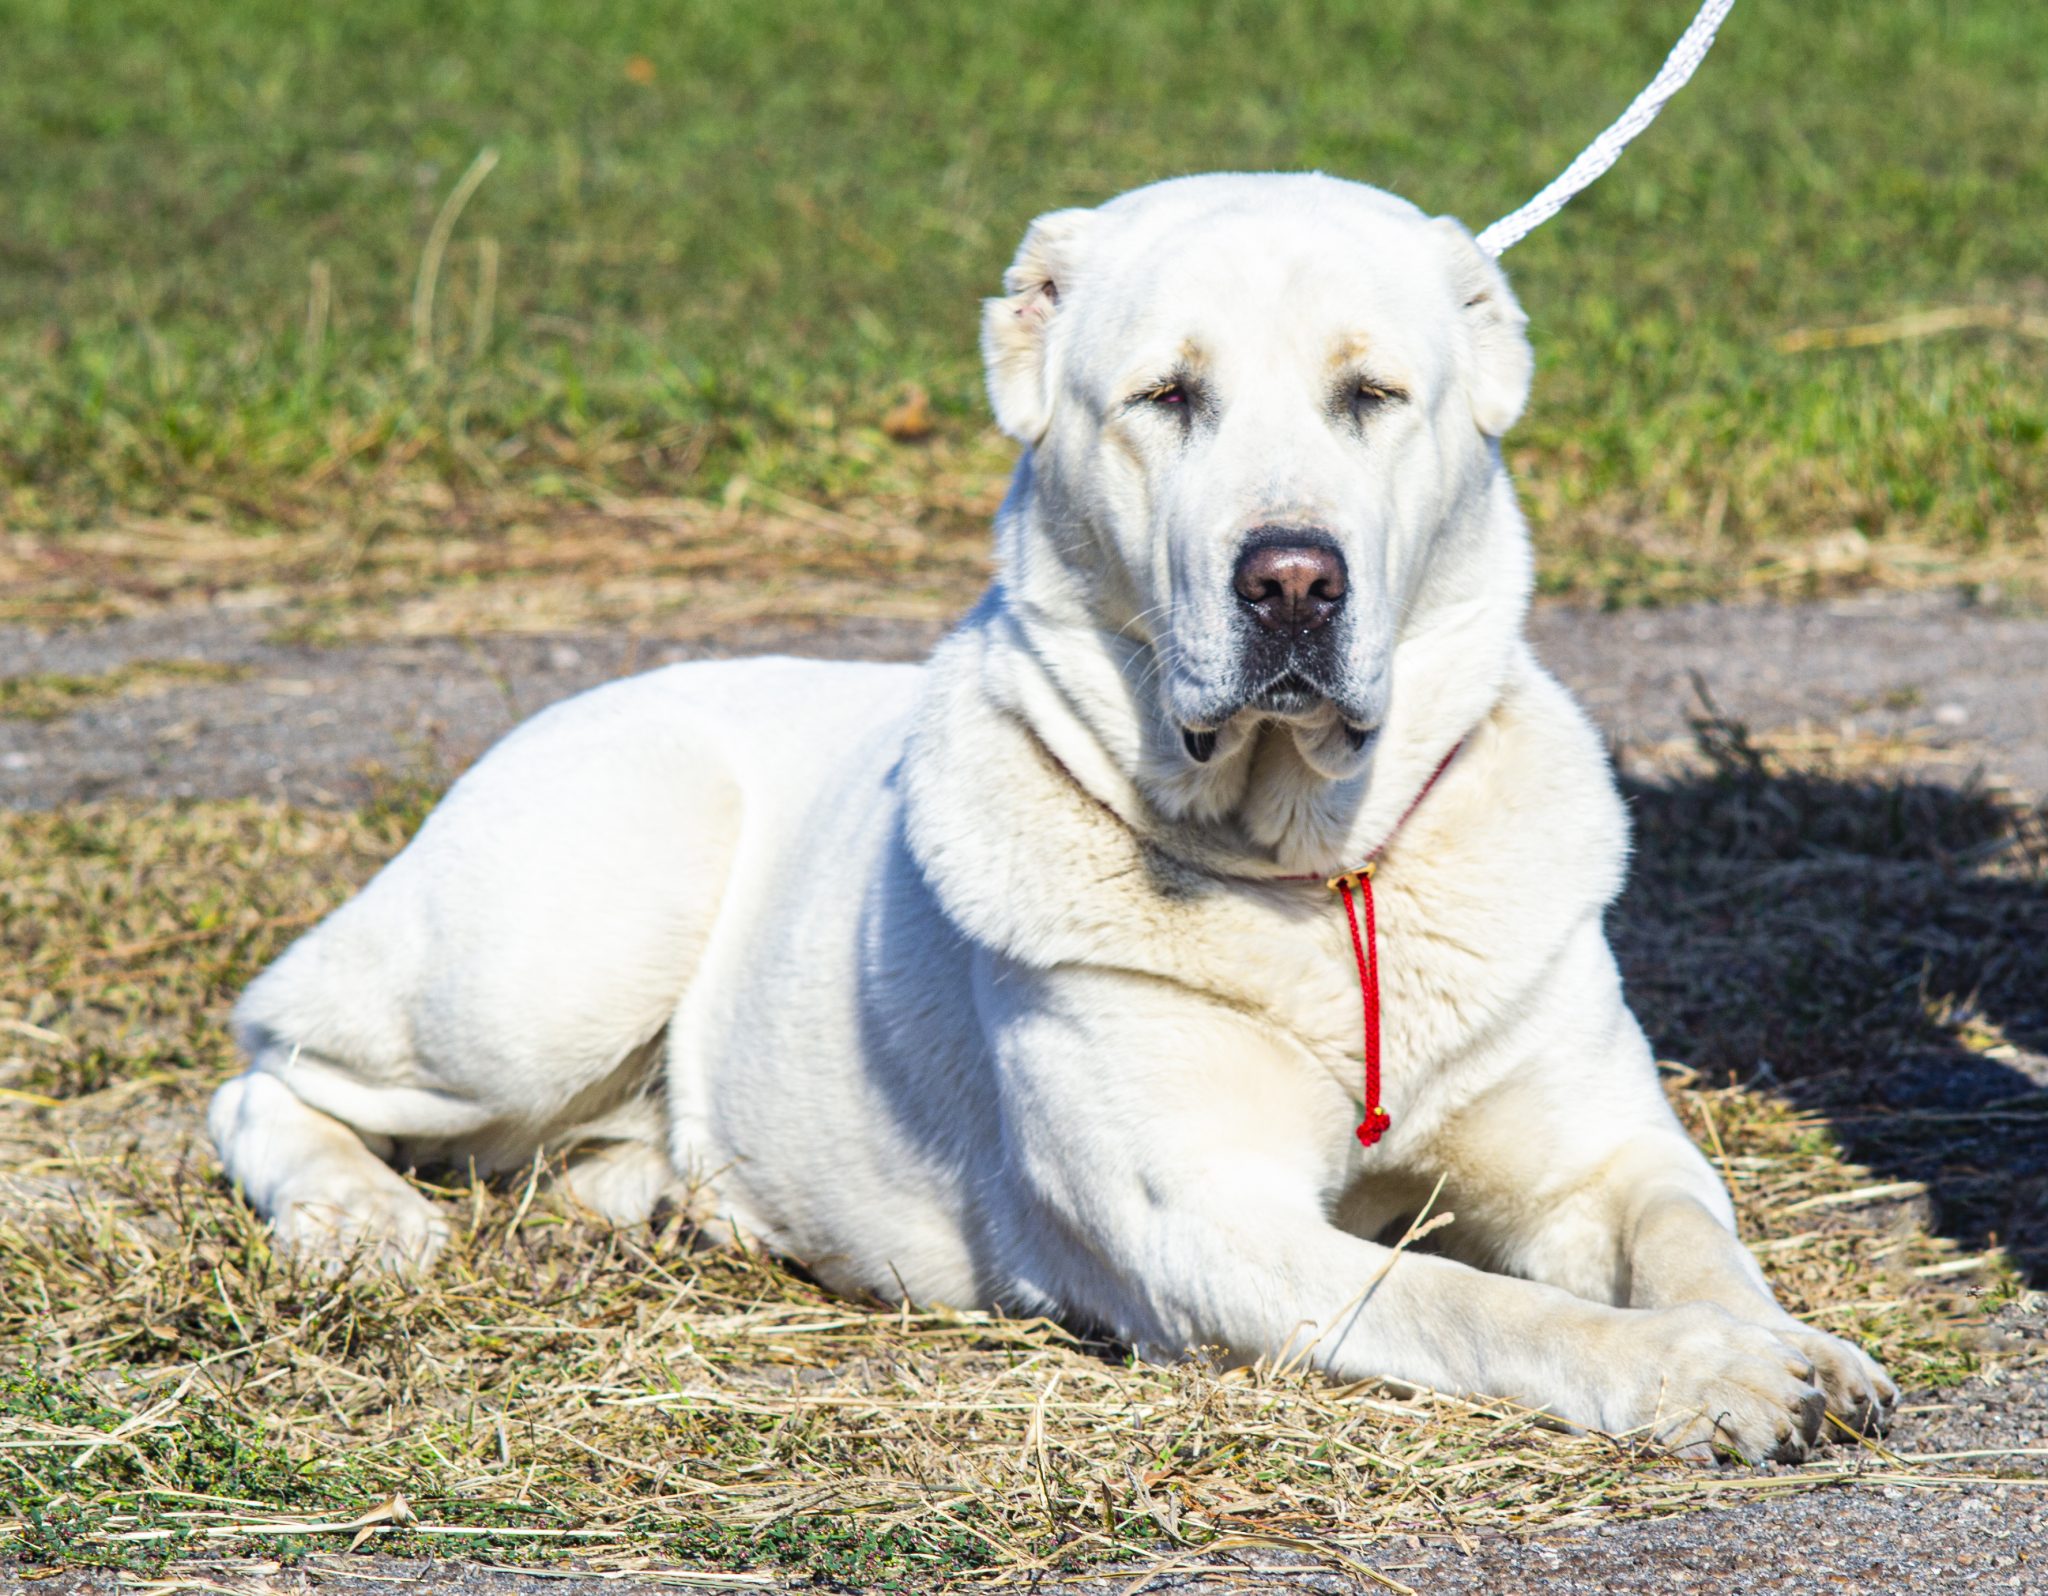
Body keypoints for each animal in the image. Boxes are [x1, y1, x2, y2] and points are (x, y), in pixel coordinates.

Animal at [207, 172, 1884, 1458]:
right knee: (263, 1069)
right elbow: (1483, 1305)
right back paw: (356, 1219)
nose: (1292, 579)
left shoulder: (1597, 1152)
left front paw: (1792, 1344)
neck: (1317, 867)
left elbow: (1690, 1231)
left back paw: (685, 1204)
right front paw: (1707, 1376)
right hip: (557, 947)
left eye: (1372, 396)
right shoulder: (1212, 1229)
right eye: (1167, 397)